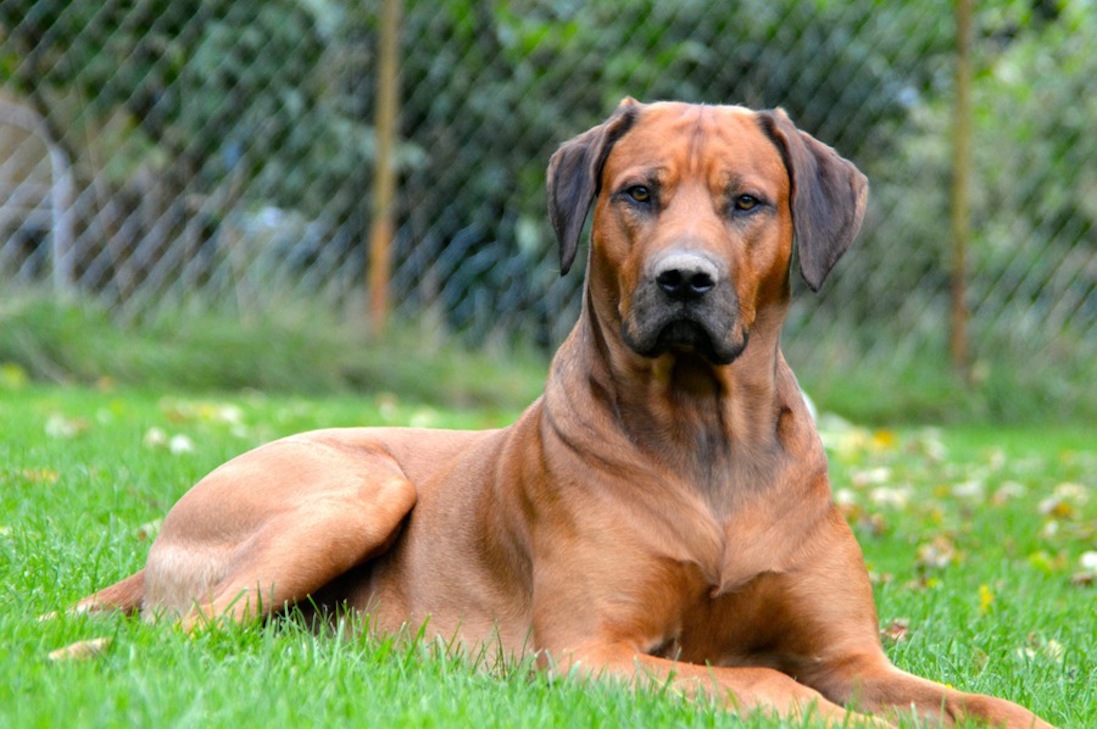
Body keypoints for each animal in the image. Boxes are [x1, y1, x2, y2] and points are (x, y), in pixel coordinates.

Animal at [70, 99, 1053, 723]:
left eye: (746, 202)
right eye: (638, 192)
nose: (684, 280)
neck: (706, 437)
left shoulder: (853, 656)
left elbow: (982, 701)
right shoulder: (591, 653)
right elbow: (770, 687)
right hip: (356, 490)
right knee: (178, 639)